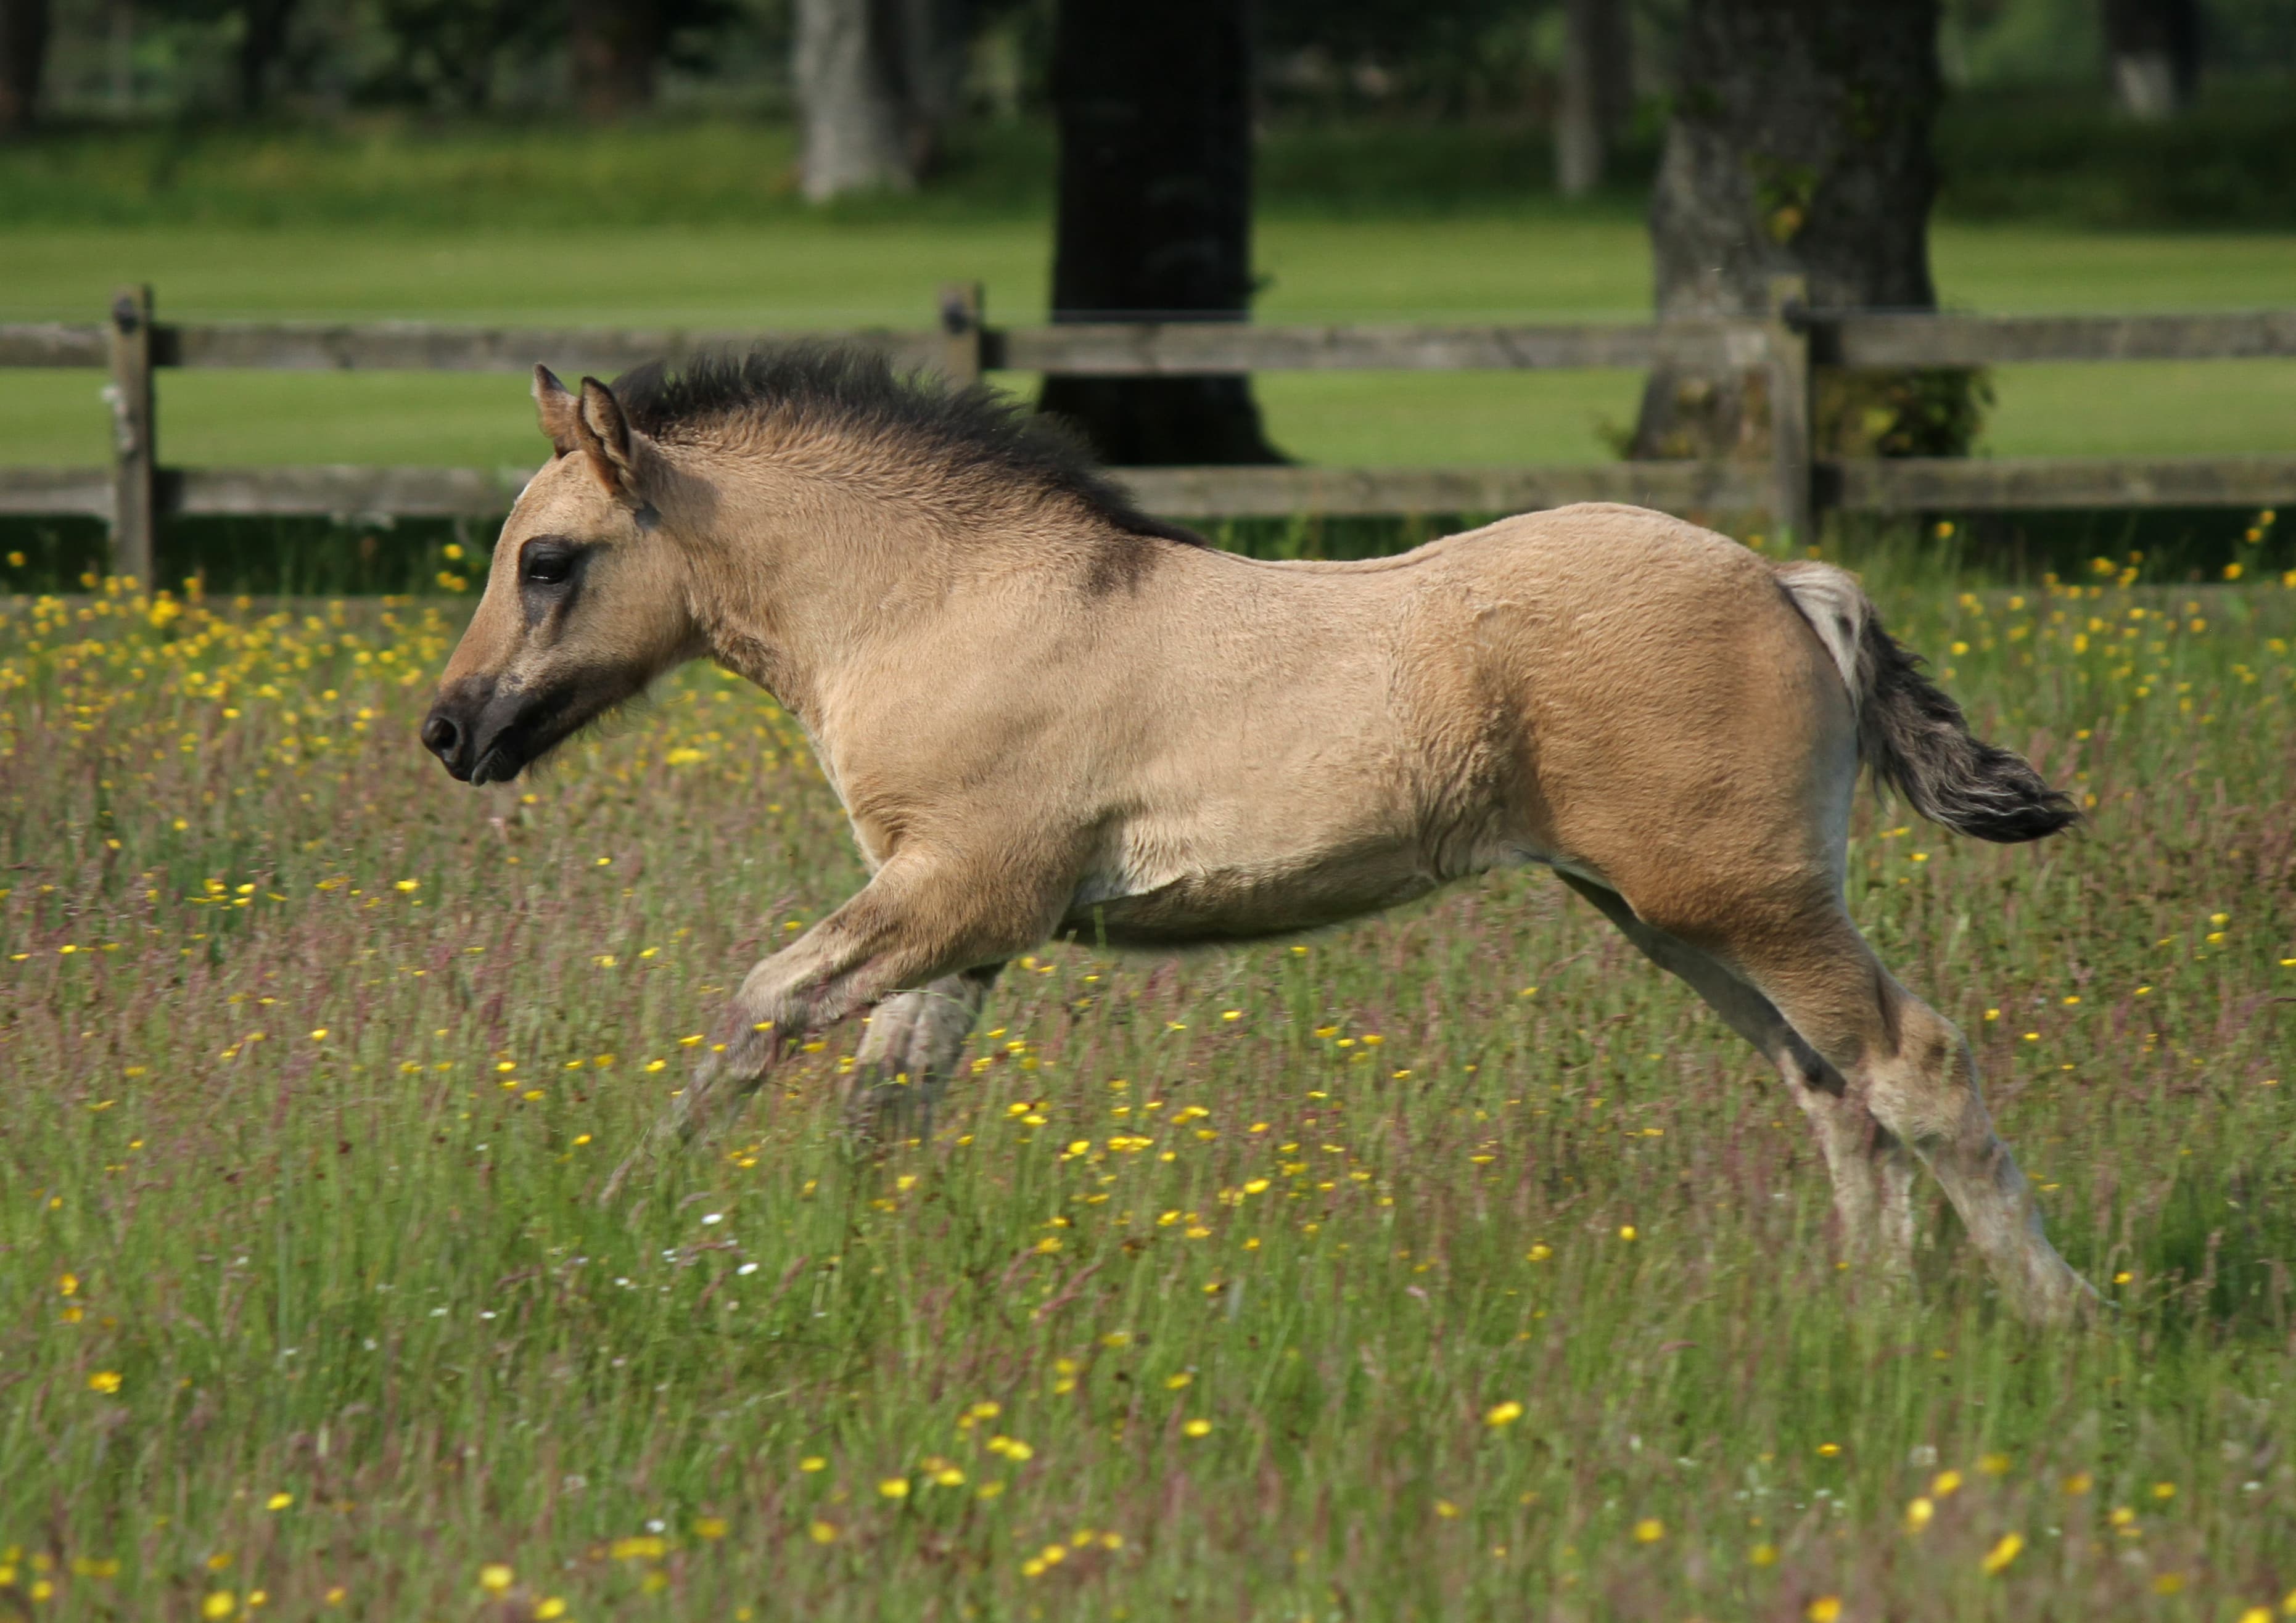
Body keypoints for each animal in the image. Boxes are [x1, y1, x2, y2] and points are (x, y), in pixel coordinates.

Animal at [421, 347, 2092, 1324]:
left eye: (549, 561)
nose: (449, 733)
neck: (941, 603)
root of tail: (1787, 580)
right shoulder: (962, 923)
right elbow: (885, 1107)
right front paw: (837, 1262)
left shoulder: (962, 889)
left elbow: (763, 1010)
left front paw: (625, 1210)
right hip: (1675, 915)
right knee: (1829, 1090)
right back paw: (1868, 1324)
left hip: (1744, 901)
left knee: (1910, 1063)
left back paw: (2056, 1312)